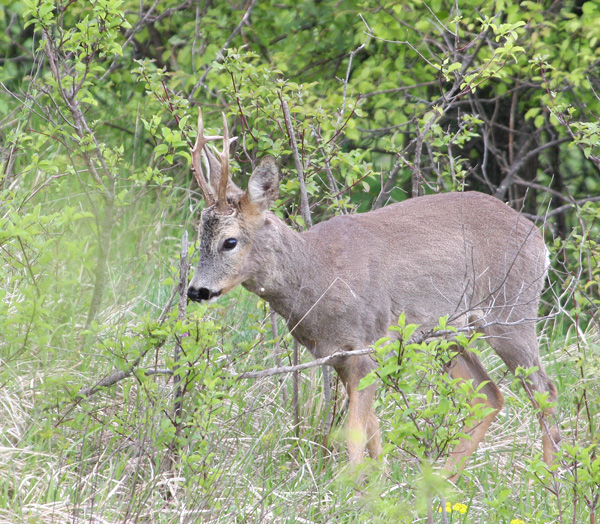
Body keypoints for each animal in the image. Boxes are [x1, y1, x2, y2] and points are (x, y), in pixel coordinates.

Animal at [185, 108, 560, 482]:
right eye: (200, 234)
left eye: (230, 241)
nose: (196, 290)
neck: (317, 276)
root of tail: (539, 241)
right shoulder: (336, 355)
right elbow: (373, 430)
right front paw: (379, 483)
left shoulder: (367, 345)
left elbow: (353, 433)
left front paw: (350, 490)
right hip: (446, 333)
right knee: (489, 395)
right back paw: (440, 483)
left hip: (511, 312)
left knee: (545, 391)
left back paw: (550, 481)